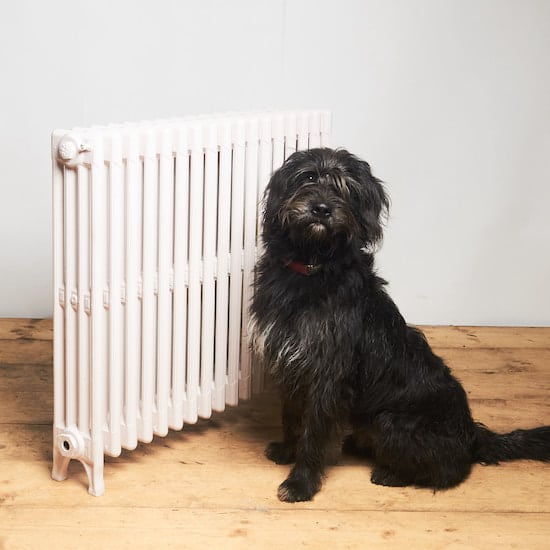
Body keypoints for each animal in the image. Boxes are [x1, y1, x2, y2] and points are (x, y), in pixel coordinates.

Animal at [252, 148, 550, 504]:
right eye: (308, 177)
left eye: (348, 188)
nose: (321, 209)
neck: (312, 267)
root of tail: (472, 435)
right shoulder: (290, 363)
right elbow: (292, 415)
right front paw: (287, 450)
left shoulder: (328, 374)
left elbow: (315, 430)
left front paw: (301, 482)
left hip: (392, 421)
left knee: (451, 471)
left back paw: (391, 474)